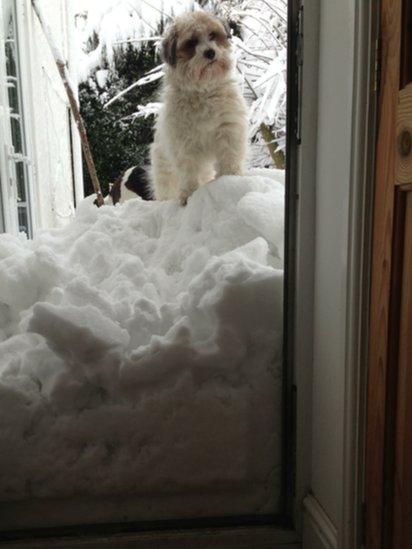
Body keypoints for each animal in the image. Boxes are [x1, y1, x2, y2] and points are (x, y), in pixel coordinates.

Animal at [150, 11, 248, 207]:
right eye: (191, 43)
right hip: (165, 174)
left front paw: (231, 178)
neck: (203, 92)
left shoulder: (229, 130)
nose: (210, 52)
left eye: (212, 35)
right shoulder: (185, 146)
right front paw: (189, 195)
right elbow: (189, 174)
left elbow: (230, 158)